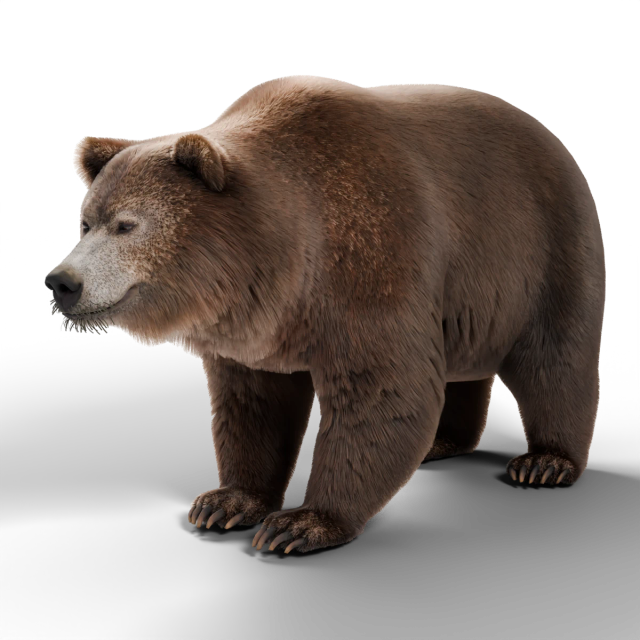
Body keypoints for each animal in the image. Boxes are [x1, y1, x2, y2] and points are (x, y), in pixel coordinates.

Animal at [44, 74, 605, 553]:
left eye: (127, 225)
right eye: (85, 221)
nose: (62, 283)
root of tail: (552, 137)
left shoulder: (372, 259)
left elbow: (382, 390)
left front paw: (301, 523)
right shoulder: (254, 333)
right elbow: (253, 406)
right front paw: (224, 501)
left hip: (541, 247)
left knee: (557, 356)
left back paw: (546, 460)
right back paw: (446, 439)